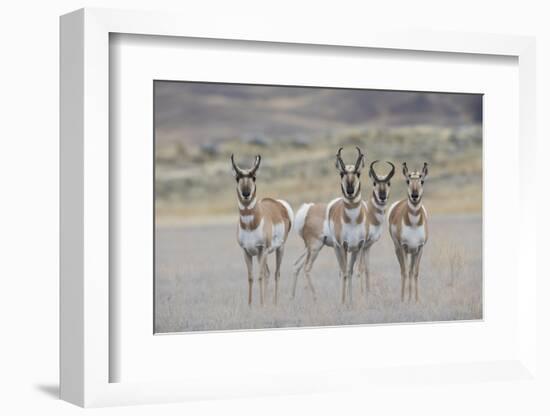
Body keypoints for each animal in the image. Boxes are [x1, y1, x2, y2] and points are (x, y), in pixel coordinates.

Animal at [232, 154, 296, 306]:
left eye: (254, 177)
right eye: (237, 177)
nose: (246, 193)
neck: (251, 224)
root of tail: (279, 204)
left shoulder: (263, 249)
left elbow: (260, 276)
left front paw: (261, 304)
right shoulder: (246, 252)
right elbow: (251, 277)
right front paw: (250, 305)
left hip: (279, 249)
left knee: (276, 273)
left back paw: (274, 303)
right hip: (262, 254)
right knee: (268, 273)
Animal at [294, 147, 366, 302]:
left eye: (358, 173)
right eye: (341, 173)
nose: (350, 191)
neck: (352, 220)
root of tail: (308, 209)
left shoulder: (357, 247)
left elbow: (351, 272)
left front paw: (352, 301)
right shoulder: (341, 247)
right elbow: (344, 272)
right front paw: (343, 302)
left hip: (310, 249)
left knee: (297, 266)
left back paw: (293, 297)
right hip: (315, 247)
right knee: (307, 268)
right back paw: (315, 298)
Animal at [358, 160, 396, 300]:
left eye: (388, 182)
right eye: (374, 182)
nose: (382, 196)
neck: (368, 213)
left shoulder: (367, 246)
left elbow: (367, 268)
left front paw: (368, 293)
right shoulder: (360, 246)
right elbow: (360, 268)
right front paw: (361, 294)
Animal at [388, 162, 432, 302]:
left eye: (422, 181)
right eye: (408, 181)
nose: (414, 195)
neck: (413, 224)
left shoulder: (420, 248)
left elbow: (415, 273)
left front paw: (416, 300)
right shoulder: (404, 247)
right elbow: (406, 272)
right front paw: (404, 300)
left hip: (413, 252)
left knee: (411, 271)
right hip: (399, 249)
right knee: (403, 271)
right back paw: (404, 297)